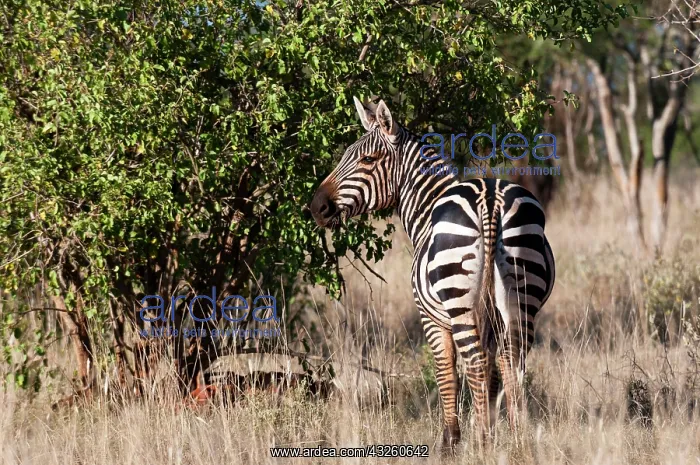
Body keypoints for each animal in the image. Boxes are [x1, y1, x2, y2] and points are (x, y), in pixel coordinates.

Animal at [310, 98, 555, 449]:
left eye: (367, 160)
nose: (316, 207)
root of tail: (490, 199)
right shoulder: (493, 320)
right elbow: (493, 375)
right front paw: (496, 431)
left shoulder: (431, 318)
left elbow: (445, 373)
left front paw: (451, 440)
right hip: (522, 298)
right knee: (512, 362)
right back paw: (518, 438)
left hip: (460, 301)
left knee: (476, 364)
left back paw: (481, 443)